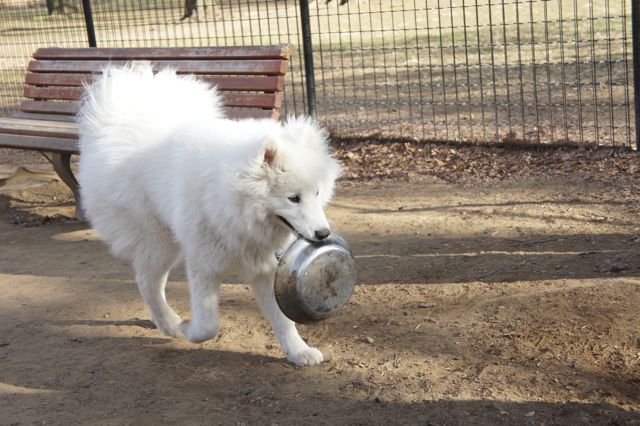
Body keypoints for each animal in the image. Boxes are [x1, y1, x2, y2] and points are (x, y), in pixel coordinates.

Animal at [77, 66, 340, 366]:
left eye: (317, 193)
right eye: (293, 198)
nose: (323, 234)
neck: (234, 205)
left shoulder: (267, 267)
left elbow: (283, 320)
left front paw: (299, 351)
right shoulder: (203, 264)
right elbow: (208, 325)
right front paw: (188, 330)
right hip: (159, 242)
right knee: (147, 282)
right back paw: (169, 323)